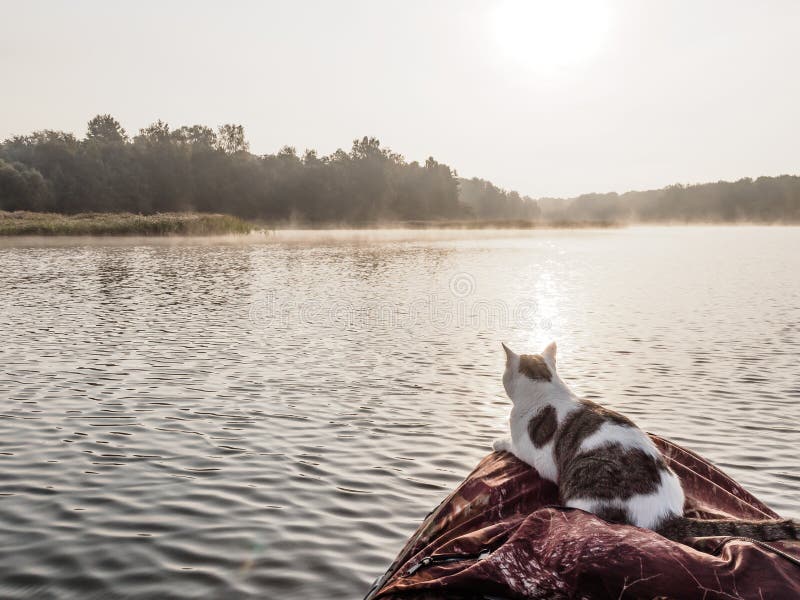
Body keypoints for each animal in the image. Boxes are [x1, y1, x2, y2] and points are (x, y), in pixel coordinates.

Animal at [494, 340, 800, 540]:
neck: (546, 390)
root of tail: (665, 513)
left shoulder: (536, 455)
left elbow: (514, 446)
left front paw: (499, 442)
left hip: (585, 482)